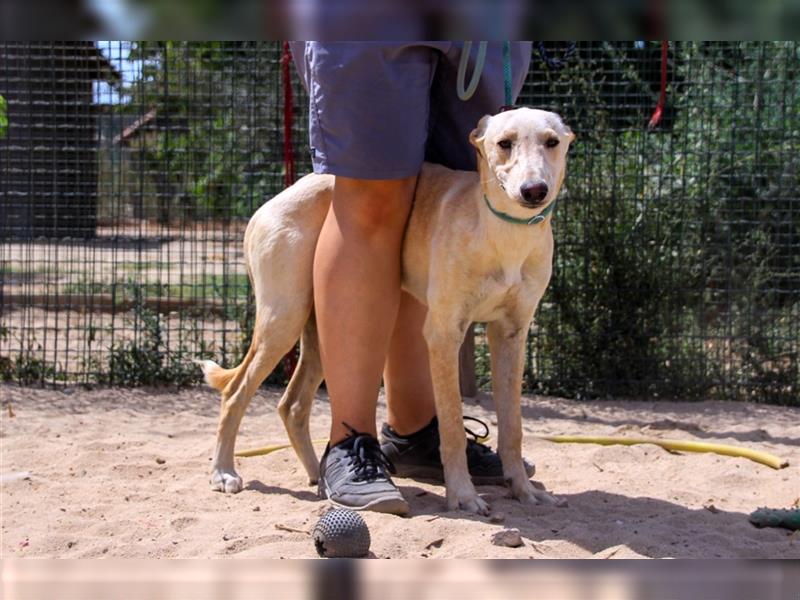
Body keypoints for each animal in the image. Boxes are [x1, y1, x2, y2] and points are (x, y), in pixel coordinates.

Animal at [203, 108, 572, 516]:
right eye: (504, 143)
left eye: (552, 142)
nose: (534, 190)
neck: (502, 233)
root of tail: (266, 207)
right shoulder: (444, 333)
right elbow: (452, 428)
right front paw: (462, 495)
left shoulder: (512, 334)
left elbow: (513, 428)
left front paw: (523, 489)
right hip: (282, 320)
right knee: (235, 392)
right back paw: (224, 472)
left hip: (321, 334)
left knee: (292, 405)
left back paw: (320, 477)